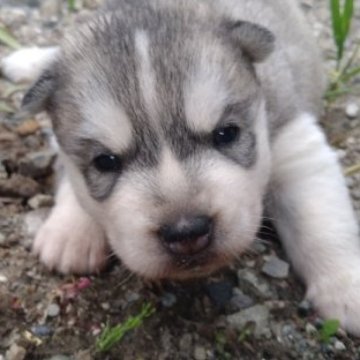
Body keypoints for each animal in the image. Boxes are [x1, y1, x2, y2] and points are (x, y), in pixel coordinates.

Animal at [4, 0, 360, 336]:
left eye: (226, 133)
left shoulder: (292, 138)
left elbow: (319, 219)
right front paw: (70, 231)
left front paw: (345, 286)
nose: (187, 233)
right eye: (105, 161)